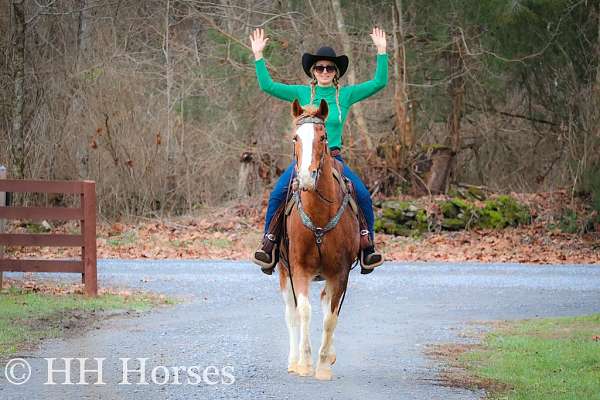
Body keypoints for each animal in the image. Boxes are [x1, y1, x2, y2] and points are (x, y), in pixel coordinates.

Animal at [278, 98, 358, 380]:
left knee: (325, 303)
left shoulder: (340, 273)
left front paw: (323, 365)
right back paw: (292, 361)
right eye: (295, 138)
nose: (306, 177)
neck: (320, 216)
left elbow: (330, 318)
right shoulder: (298, 269)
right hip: (284, 271)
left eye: (322, 137)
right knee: (291, 313)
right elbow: (304, 312)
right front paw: (304, 362)